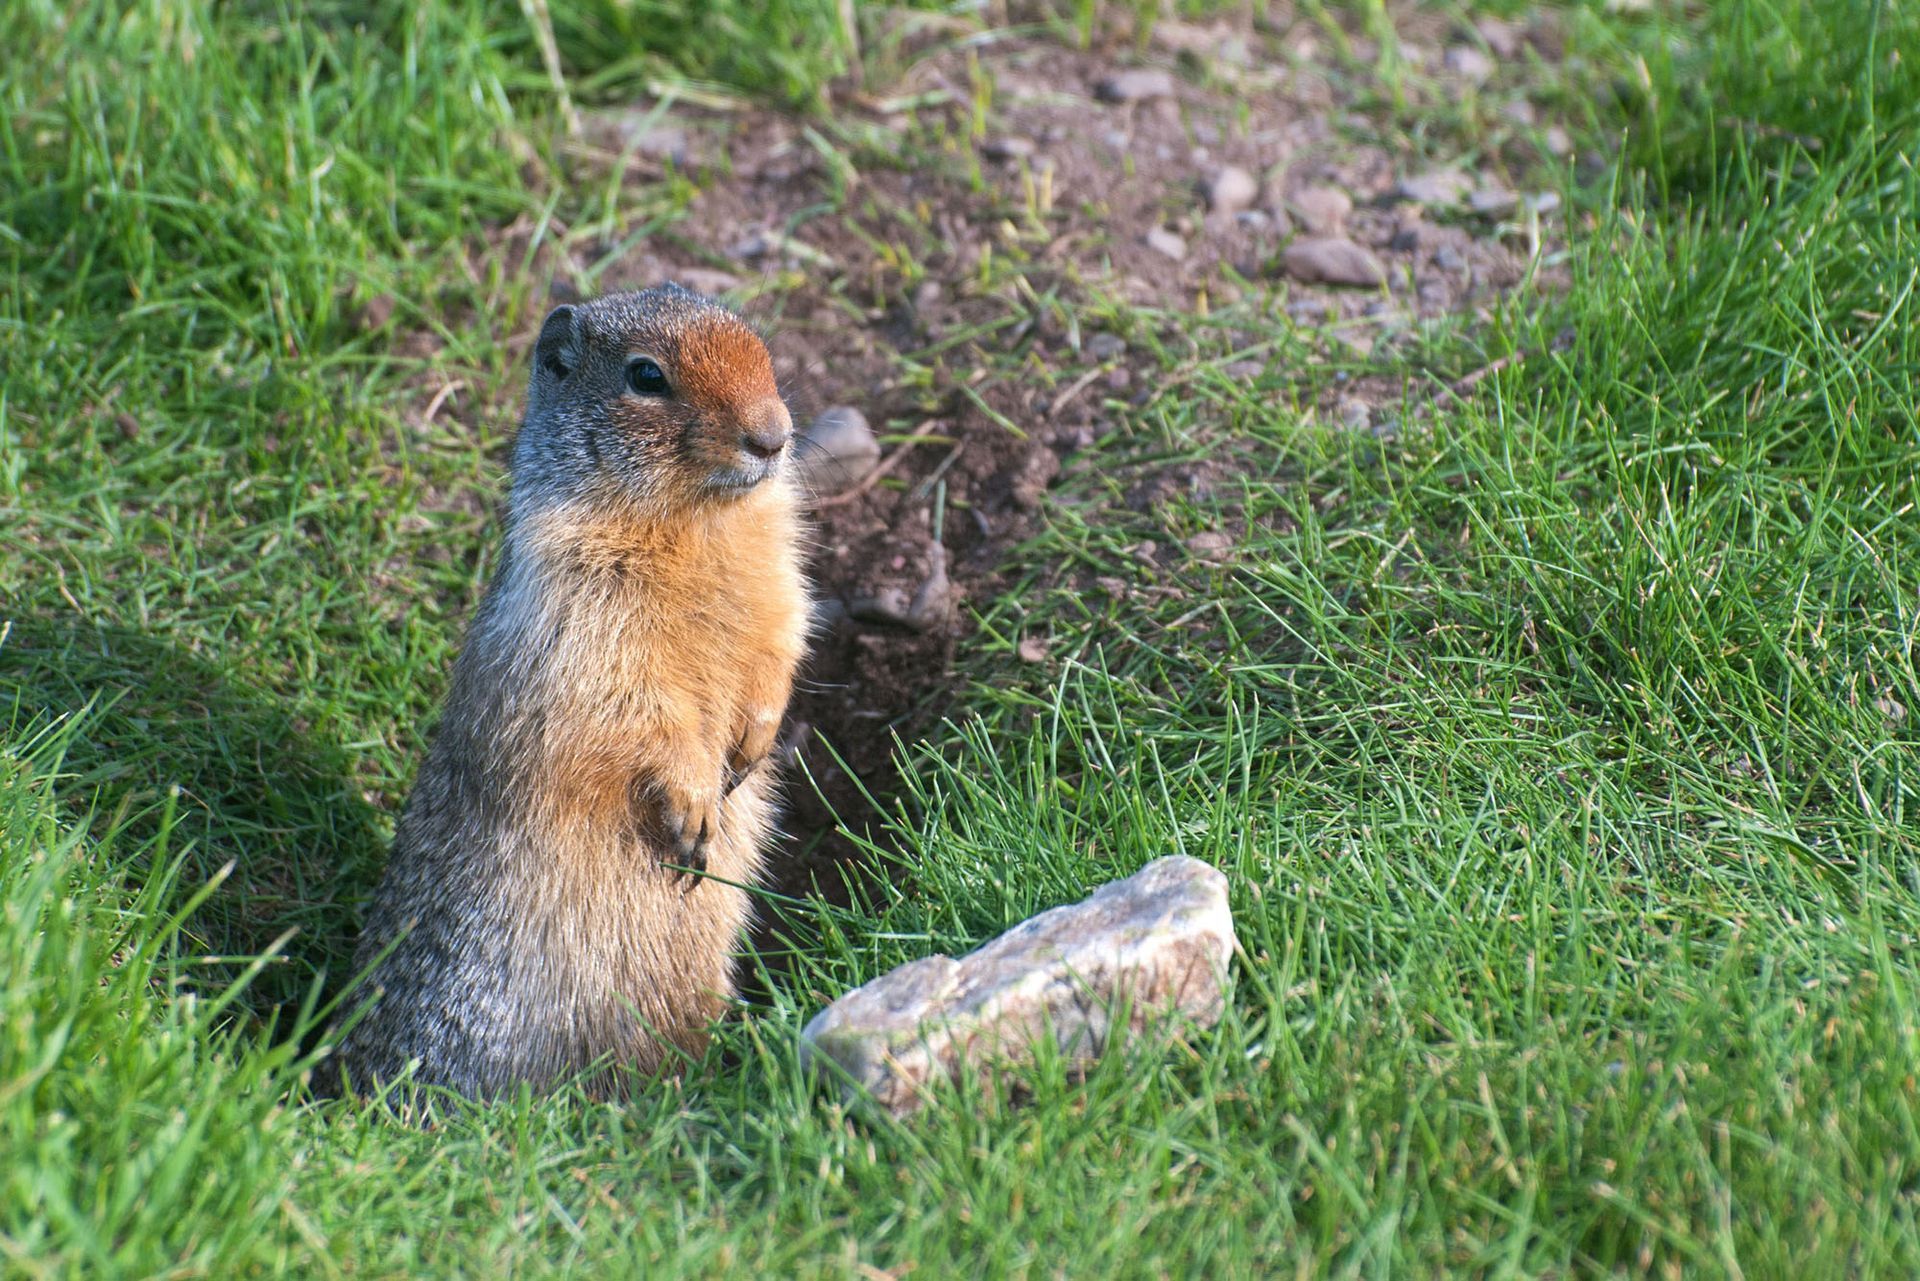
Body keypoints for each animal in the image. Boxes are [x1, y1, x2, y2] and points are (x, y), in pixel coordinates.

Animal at [338, 285, 810, 1099]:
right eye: (646, 376)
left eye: (758, 345)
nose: (773, 437)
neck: (700, 521)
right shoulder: (581, 607)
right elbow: (630, 701)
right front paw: (695, 807)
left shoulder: (779, 570)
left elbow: (781, 637)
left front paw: (753, 745)